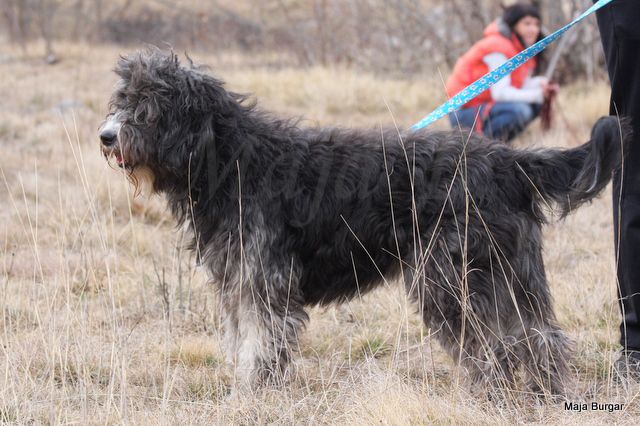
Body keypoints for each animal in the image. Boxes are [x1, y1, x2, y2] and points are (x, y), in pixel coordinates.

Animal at [101, 50, 632, 396]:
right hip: (510, 271)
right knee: (538, 337)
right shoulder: (236, 281)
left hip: (452, 276)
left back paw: (490, 395)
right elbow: (241, 340)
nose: (106, 136)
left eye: (148, 106)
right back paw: (545, 394)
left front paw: (252, 395)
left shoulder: (262, 281)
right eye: (121, 98)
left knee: (496, 344)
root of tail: (508, 161)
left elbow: (261, 342)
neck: (232, 159)